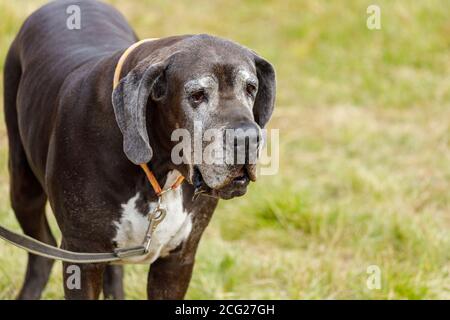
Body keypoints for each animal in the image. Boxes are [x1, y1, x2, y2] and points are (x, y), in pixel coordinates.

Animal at [3, 0, 276, 300]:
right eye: (196, 95)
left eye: (250, 88)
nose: (247, 138)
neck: (159, 170)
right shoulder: (81, 255)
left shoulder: (177, 261)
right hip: (23, 186)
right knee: (41, 248)